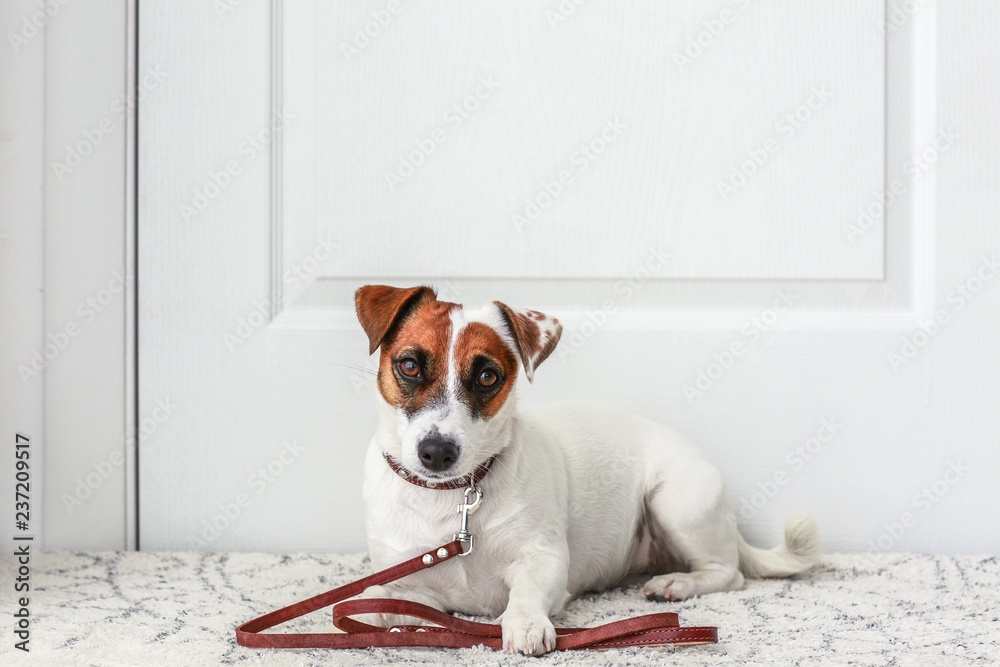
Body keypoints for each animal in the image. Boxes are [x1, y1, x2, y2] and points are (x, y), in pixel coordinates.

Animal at [356, 284, 816, 656]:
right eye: (410, 366)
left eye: (487, 376)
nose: (437, 452)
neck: (453, 497)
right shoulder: (411, 586)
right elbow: (378, 598)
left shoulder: (545, 559)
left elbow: (526, 591)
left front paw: (523, 622)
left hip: (677, 503)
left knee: (729, 573)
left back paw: (677, 583)